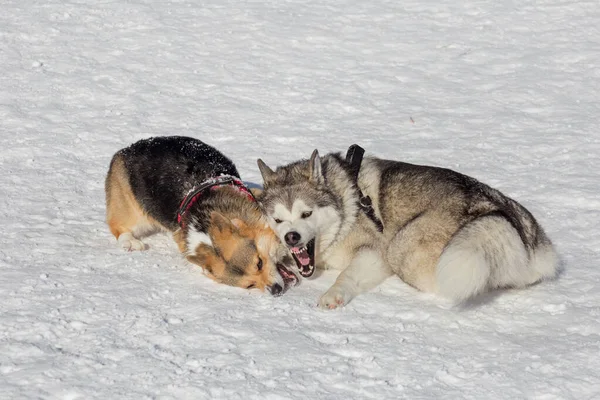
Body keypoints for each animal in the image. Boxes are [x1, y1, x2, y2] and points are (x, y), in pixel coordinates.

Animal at [256, 148, 556, 308]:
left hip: (407, 249)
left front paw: (334, 294)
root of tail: (497, 210)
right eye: (278, 220)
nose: (292, 237)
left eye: (306, 213)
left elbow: (347, 275)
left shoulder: (376, 252)